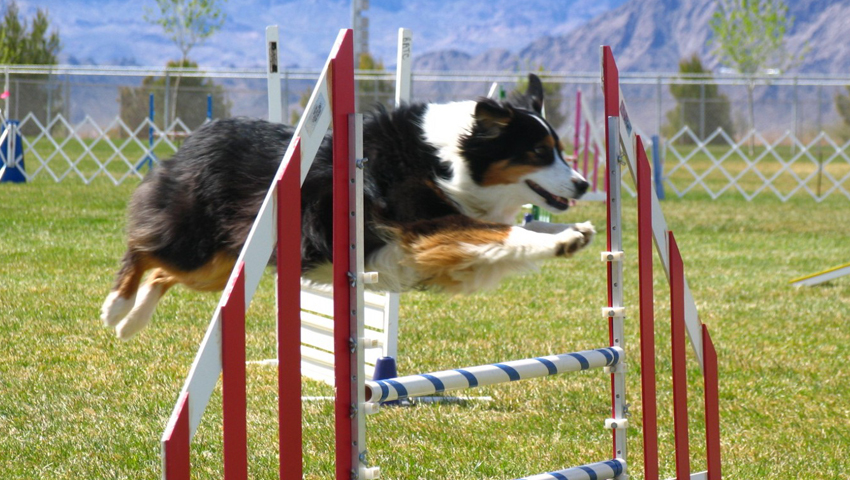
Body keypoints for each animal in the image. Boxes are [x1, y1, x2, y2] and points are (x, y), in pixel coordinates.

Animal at [101, 73, 588, 340]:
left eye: (561, 150)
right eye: (539, 153)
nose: (583, 184)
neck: (446, 160)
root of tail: (198, 135)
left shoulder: (451, 247)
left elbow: (518, 231)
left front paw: (575, 234)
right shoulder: (425, 226)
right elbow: (507, 230)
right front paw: (566, 238)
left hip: (227, 262)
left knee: (162, 272)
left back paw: (131, 324)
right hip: (200, 244)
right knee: (143, 248)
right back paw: (116, 308)